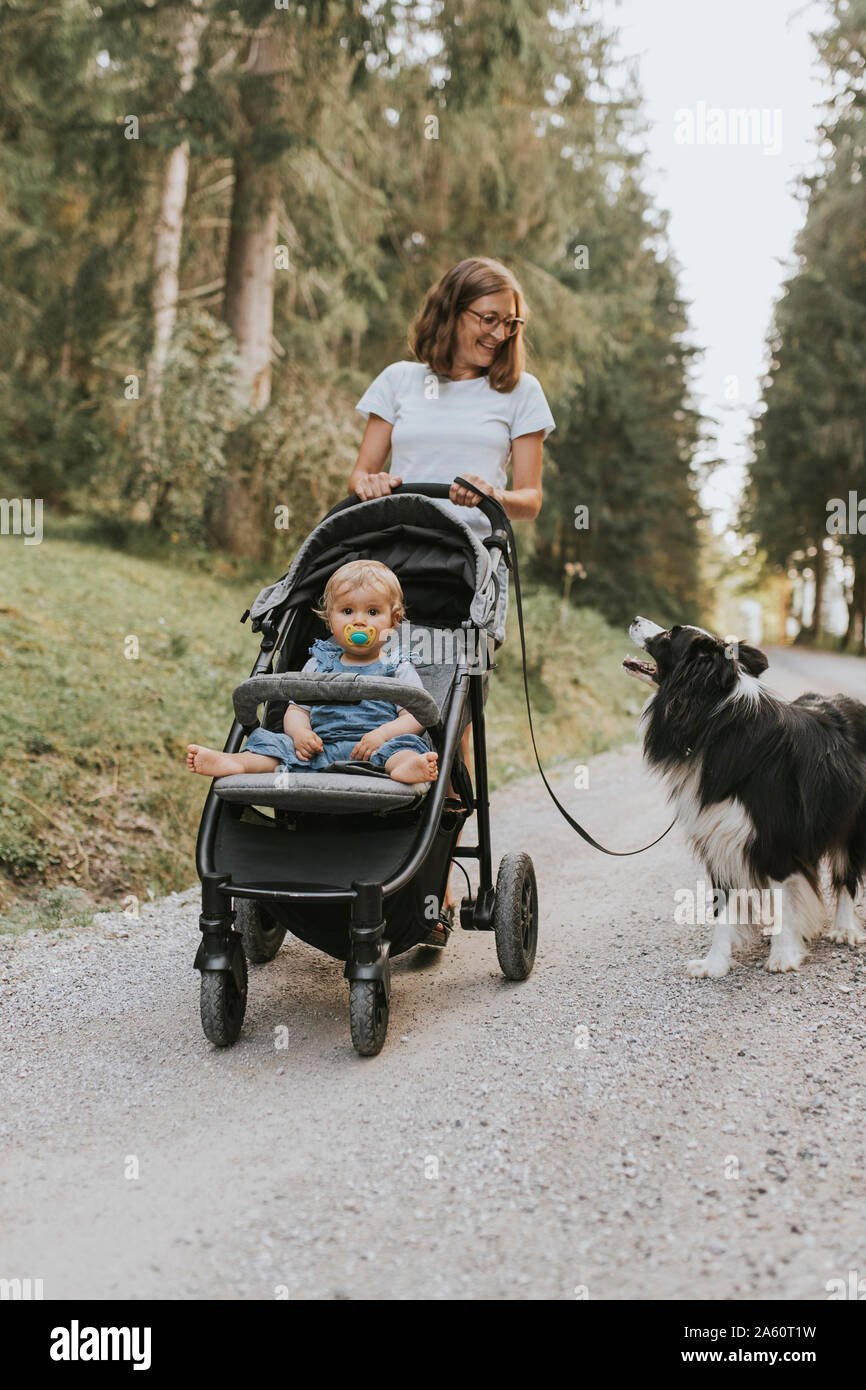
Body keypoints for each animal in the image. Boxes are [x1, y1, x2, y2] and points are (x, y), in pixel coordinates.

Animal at [622, 619, 866, 978]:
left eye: (670, 634)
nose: (636, 620)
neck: (711, 720)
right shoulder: (720, 834)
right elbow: (723, 906)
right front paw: (714, 962)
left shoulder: (777, 838)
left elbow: (784, 896)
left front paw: (783, 956)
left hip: (849, 816)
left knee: (846, 870)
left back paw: (844, 928)